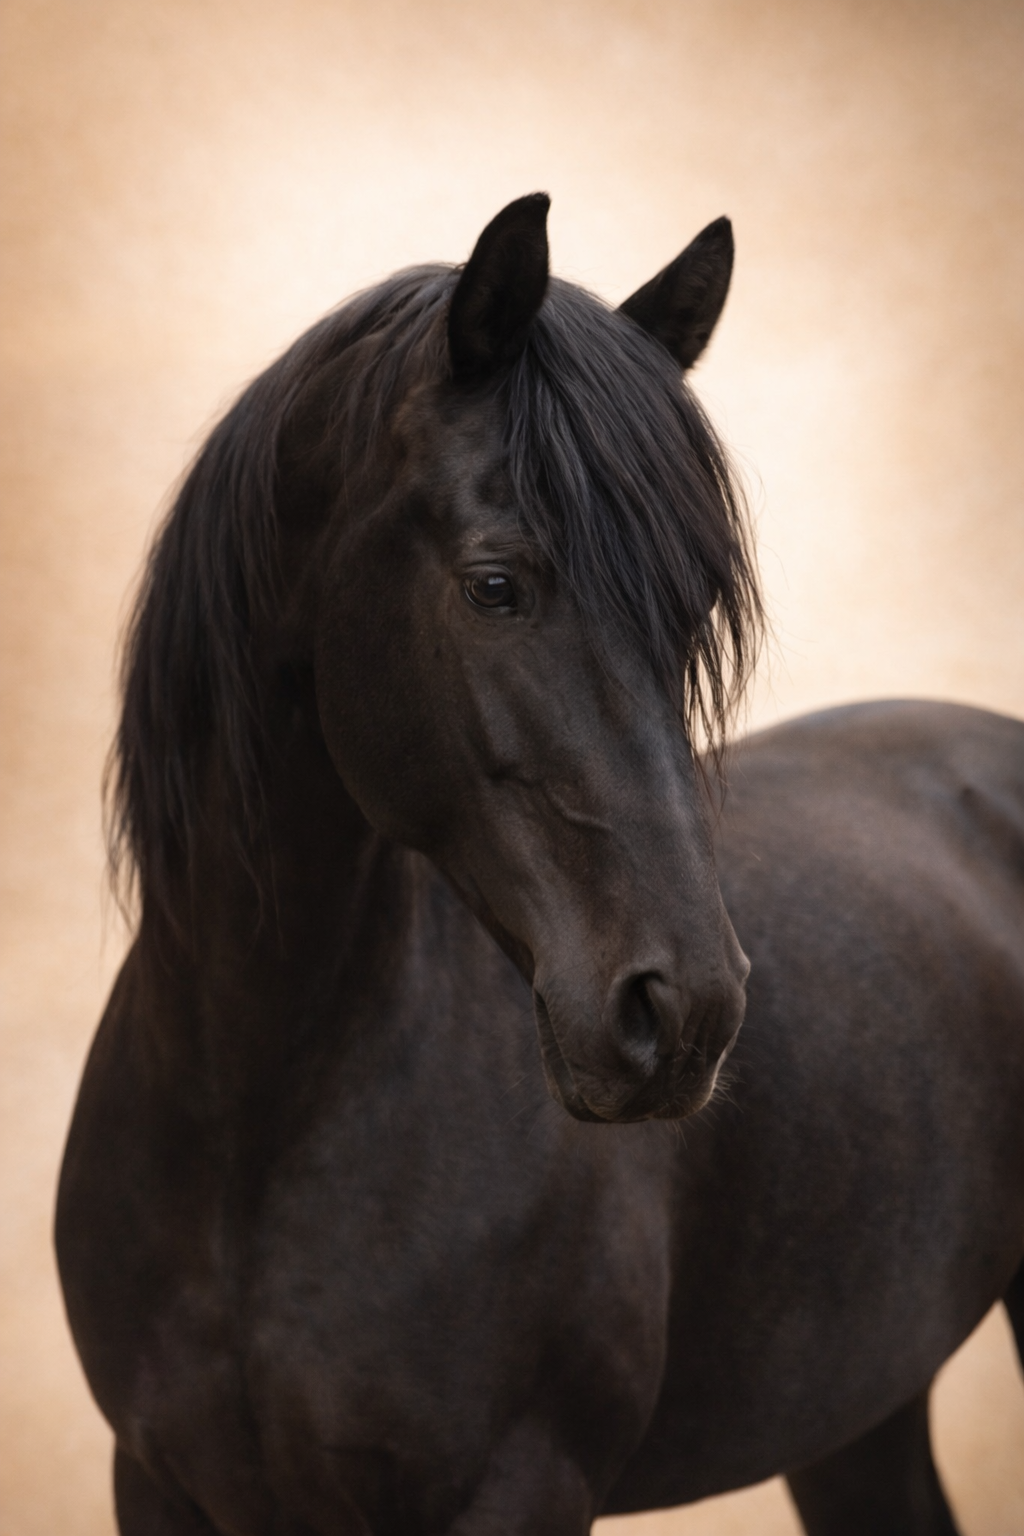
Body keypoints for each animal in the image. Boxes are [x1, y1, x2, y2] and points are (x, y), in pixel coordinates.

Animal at [55, 194, 1024, 1536]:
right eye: (494, 585)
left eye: (692, 613)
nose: (686, 1013)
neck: (250, 1119)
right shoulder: (153, 1481)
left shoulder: (518, 1485)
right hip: (859, 1407)